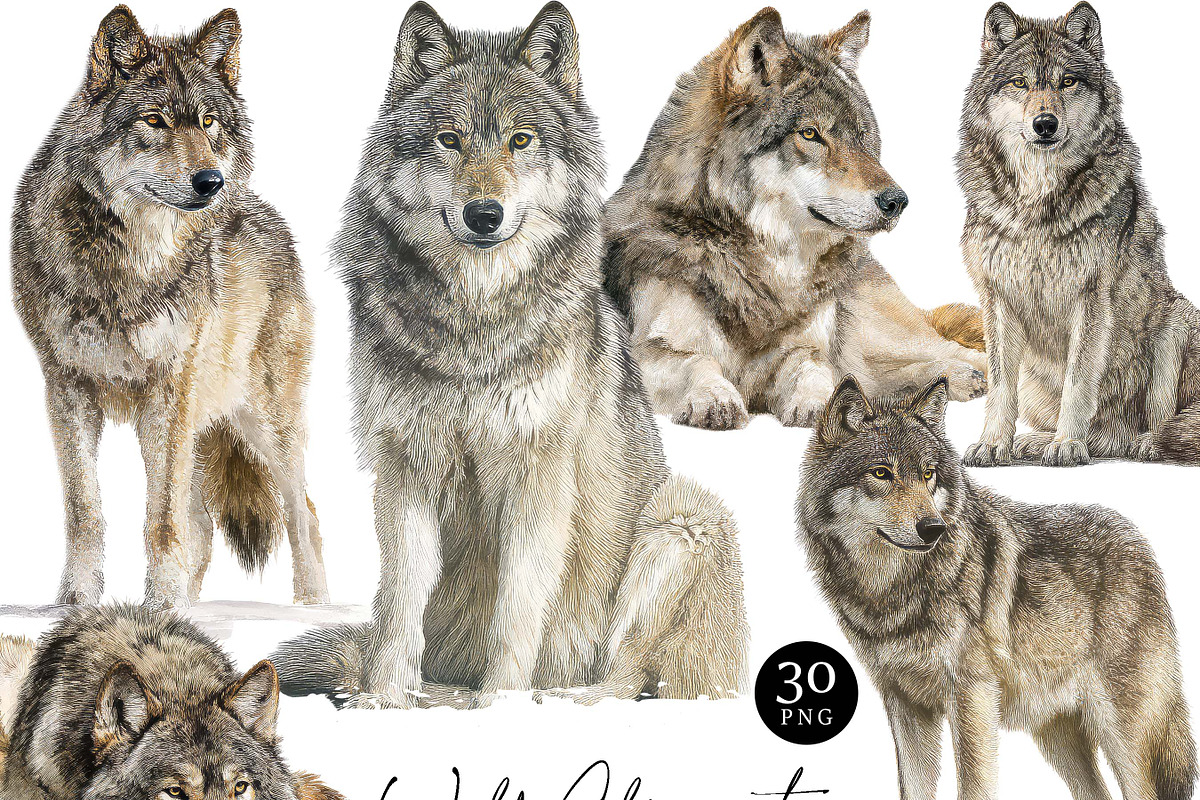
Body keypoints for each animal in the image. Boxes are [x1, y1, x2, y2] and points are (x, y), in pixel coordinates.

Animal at [12, 5, 330, 607]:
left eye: (208, 122)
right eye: (155, 121)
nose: (211, 181)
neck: (128, 265)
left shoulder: (169, 391)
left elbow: (160, 516)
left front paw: (159, 602)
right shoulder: (66, 386)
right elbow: (85, 509)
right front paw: (77, 601)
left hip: (263, 425)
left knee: (303, 513)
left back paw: (313, 607)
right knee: (203, 527)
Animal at [269, 2, 749, 709]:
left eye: (521, 140)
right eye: (450, 139)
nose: (484, 213)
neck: (475, 323)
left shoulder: (534, 470)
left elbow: (518, 608)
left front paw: (497, 707)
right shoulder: (407, 464)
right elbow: (399, 602)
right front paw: (384, 701)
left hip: (682, 520)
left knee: (630, 677)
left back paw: (554, 700)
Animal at [603, 8, 988, 431]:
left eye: (861, 137)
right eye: (810, 133)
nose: (897, 201)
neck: (767, 271)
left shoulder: (809, 348)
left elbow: (813, 369)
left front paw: (819, 403)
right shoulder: (648, 351)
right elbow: (696, 361)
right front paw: (715, 396)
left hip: (883, 338)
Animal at [797, 376, 1196, 800]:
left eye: (928, 474)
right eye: (880, 473)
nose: (933, 528)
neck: (891, 590)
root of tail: (1139, 541)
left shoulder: (971, 697)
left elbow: (974, 786)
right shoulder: (904, 703)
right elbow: (914, 788)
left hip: (1121, 734)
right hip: (1056, 734)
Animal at [958, 2, 1200, 467]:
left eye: (1067, 81)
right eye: (1020, 83)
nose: (1045, 124)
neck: (1037, 201)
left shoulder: (1091, 298)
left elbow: (1078, 379)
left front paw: (1068, 444)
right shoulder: (996, 298)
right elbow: (999, 386)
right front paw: (994, 444)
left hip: (1176, 322)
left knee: (1152, 426)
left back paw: (1138, 444)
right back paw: (1034, 442)